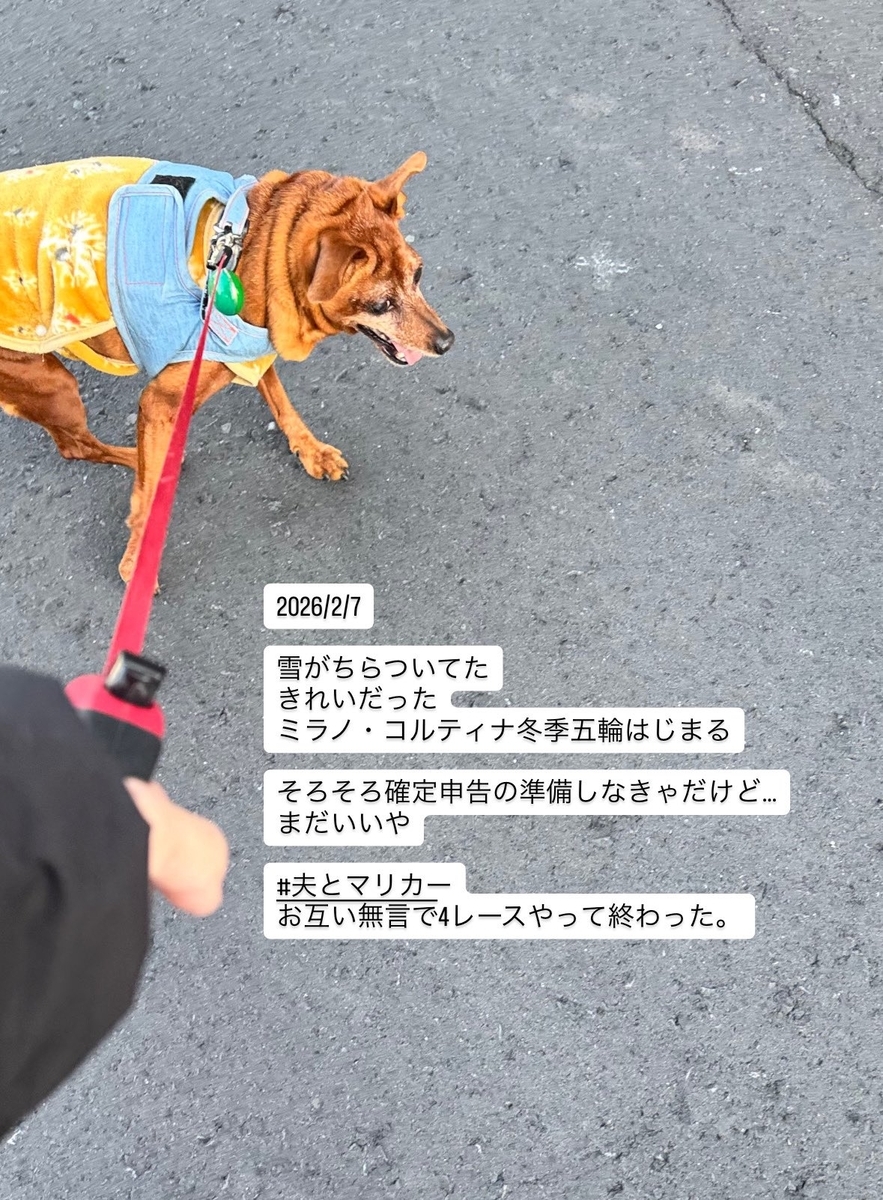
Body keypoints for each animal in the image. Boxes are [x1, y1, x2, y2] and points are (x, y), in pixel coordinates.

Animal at [0, 152, 453, 580]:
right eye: (381, 304)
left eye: (418, 274)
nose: (446, 342)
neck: (256, 247)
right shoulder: (160, 401)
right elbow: (143, 500)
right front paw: (136, 561)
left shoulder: (251, 352)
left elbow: (282, 404)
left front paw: (311, 451)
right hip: (52, 383)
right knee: (77, 446)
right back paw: (146, 460)